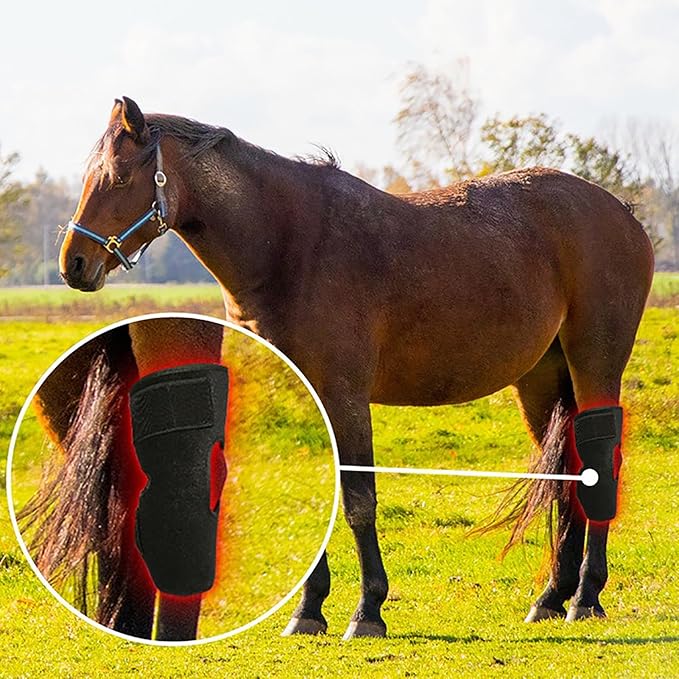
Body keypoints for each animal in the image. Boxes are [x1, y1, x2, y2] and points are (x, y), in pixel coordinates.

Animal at [49, 96, 653, 640]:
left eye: (118, 177)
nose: (74, 263)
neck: (290, 244)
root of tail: (623, 214)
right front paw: (308, 612)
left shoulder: (344, 395)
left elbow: (359, 500)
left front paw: (368, 612)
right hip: (542, 379)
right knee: (569, 470)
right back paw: (552, 597)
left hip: (595, 364)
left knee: (600, 463)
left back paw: (585, 597)